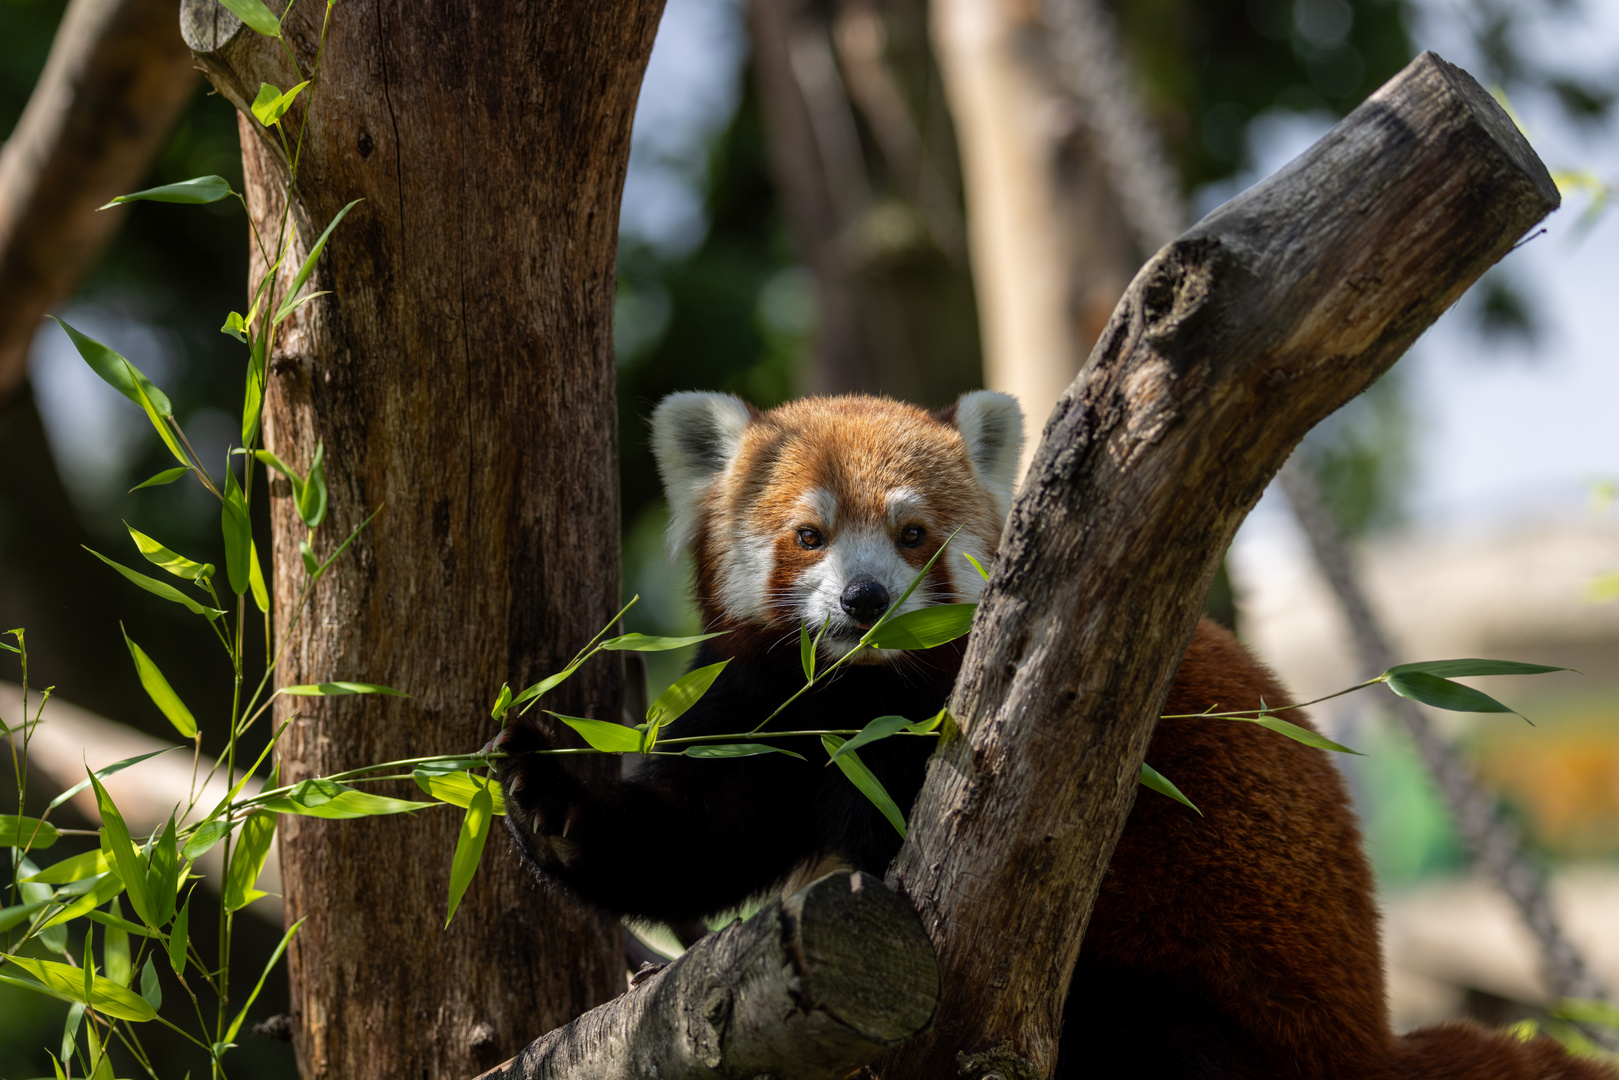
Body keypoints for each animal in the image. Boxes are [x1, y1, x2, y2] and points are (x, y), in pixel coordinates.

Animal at [498, 395, 1612, 1080]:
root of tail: (1365, 1042)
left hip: (1210, 997)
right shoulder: (769, 703)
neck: (863, 693)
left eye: (911, 536)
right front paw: (539, 795)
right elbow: (694, 836)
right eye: (808, 536)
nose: (864, 601)